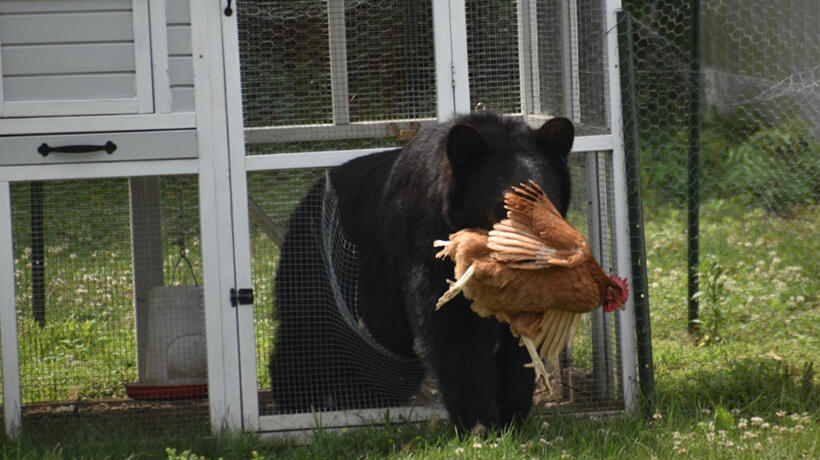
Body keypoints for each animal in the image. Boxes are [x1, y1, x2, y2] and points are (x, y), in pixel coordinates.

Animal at [270, 112, 572, 432]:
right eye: (504, 206)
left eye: (545, 202)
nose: (537, 255)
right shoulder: (429, 243)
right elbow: (453, 331)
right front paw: (479, 422)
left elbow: (522, 342)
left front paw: (511, 415)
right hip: (317, 261)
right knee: (308, 330)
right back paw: (297, 403)